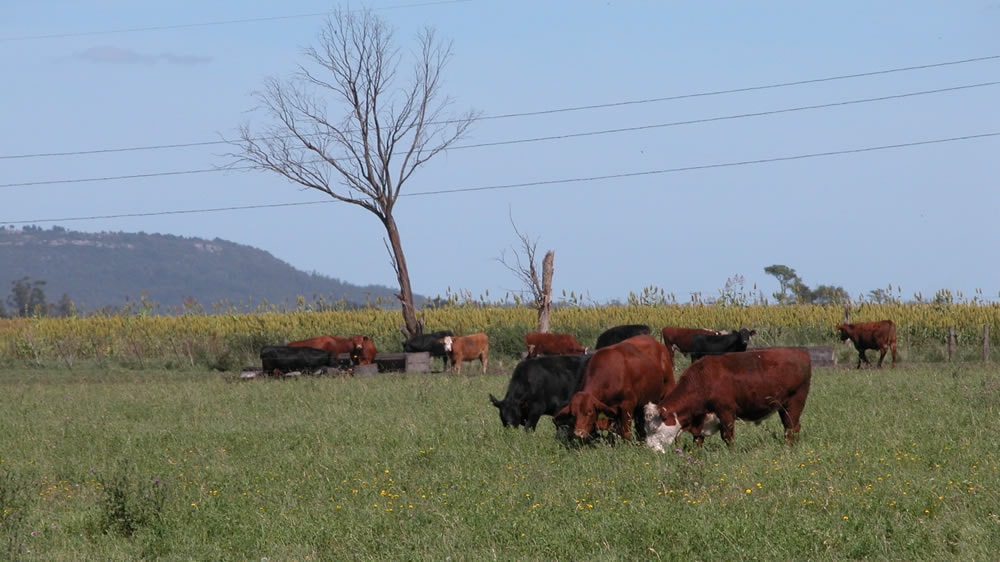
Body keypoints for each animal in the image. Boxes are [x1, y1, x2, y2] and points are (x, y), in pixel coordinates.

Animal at [648, 346, 812, 446]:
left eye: (655, 429)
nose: (650, 449)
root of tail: (801, 352)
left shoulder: (725, 411)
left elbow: (728, 436)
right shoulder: (701, 418)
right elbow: (698, 439)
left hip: (795, 402)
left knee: (791, 427)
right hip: (783, 406)